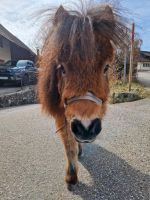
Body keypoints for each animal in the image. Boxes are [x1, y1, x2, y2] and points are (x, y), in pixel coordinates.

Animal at [37, 1, 129, 186]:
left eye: (106, 67)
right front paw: (71, 176)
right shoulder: (61, 115)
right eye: (61, 68)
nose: (86, 128)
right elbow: (68, 144)